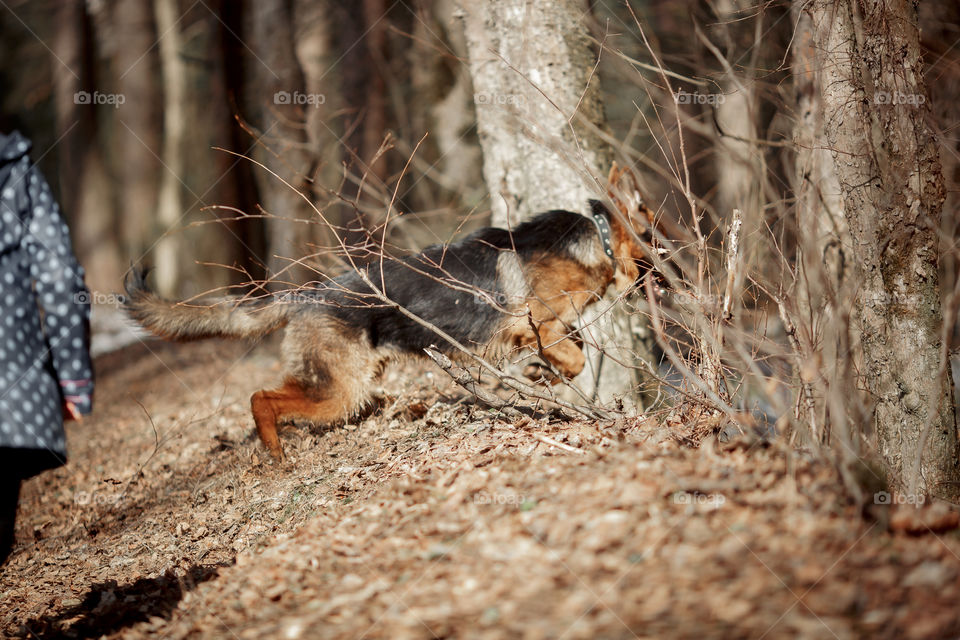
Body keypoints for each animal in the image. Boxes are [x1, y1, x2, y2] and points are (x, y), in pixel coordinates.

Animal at [127, 188, 660, 462]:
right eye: (652, 235)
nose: (671, 266)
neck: (595, 239)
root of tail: (308, 293)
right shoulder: (541, 324)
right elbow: (573, 355)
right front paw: (545, 374)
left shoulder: (550, 328)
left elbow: (575, 349)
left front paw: (538, 374)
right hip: (339, 391)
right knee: (261, 398)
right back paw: (275, 451)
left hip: (351, 383)